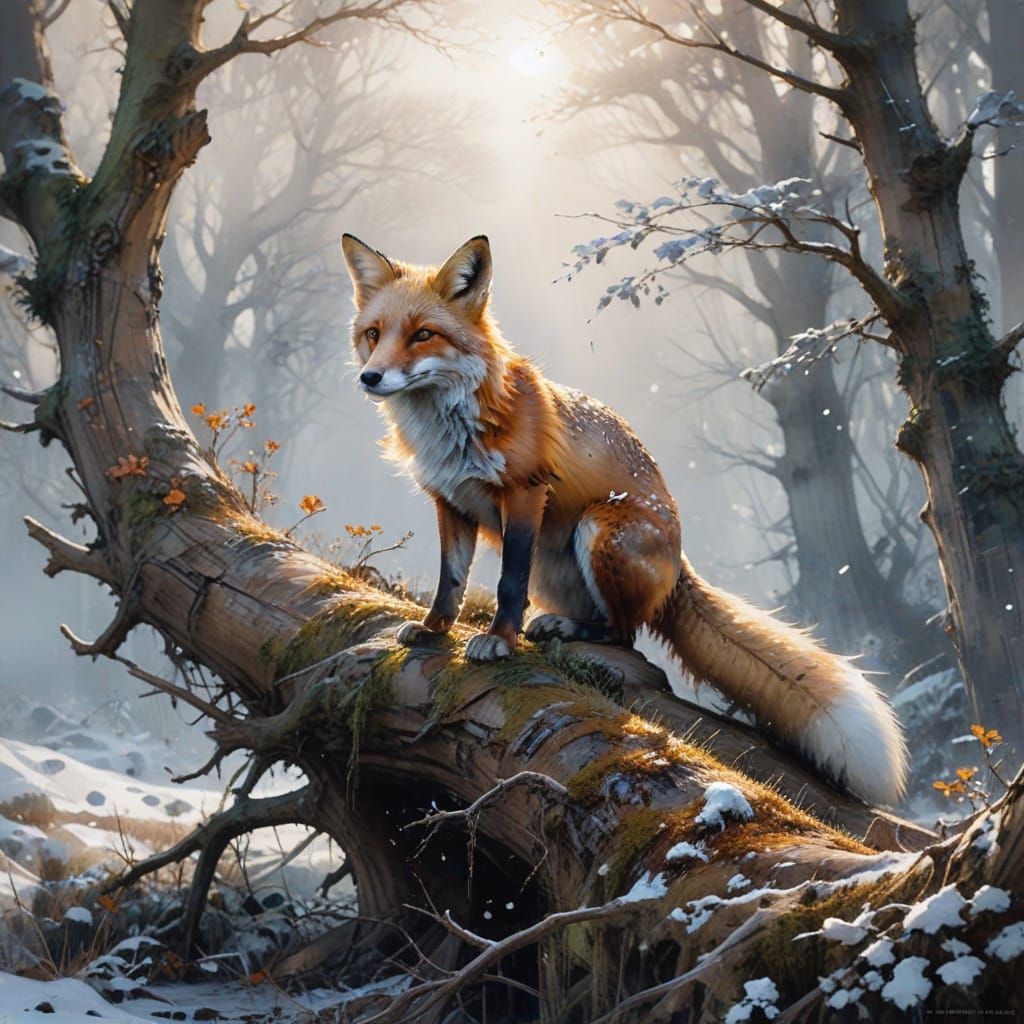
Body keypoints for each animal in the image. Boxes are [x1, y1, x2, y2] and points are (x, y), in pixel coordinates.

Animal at [341, 232, 908, 806]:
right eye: (374, 334)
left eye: (423, 335)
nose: (370, 376)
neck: (452, 427)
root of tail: (680, 563)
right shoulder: (451, 501)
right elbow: (450, 582)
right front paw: (434, 631)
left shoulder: (524, 494)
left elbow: (506, 583)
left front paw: (499, 640)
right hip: (560, 564)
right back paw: (560, 624)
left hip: (599, 527)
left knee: (624, 634)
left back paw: (569, 629)